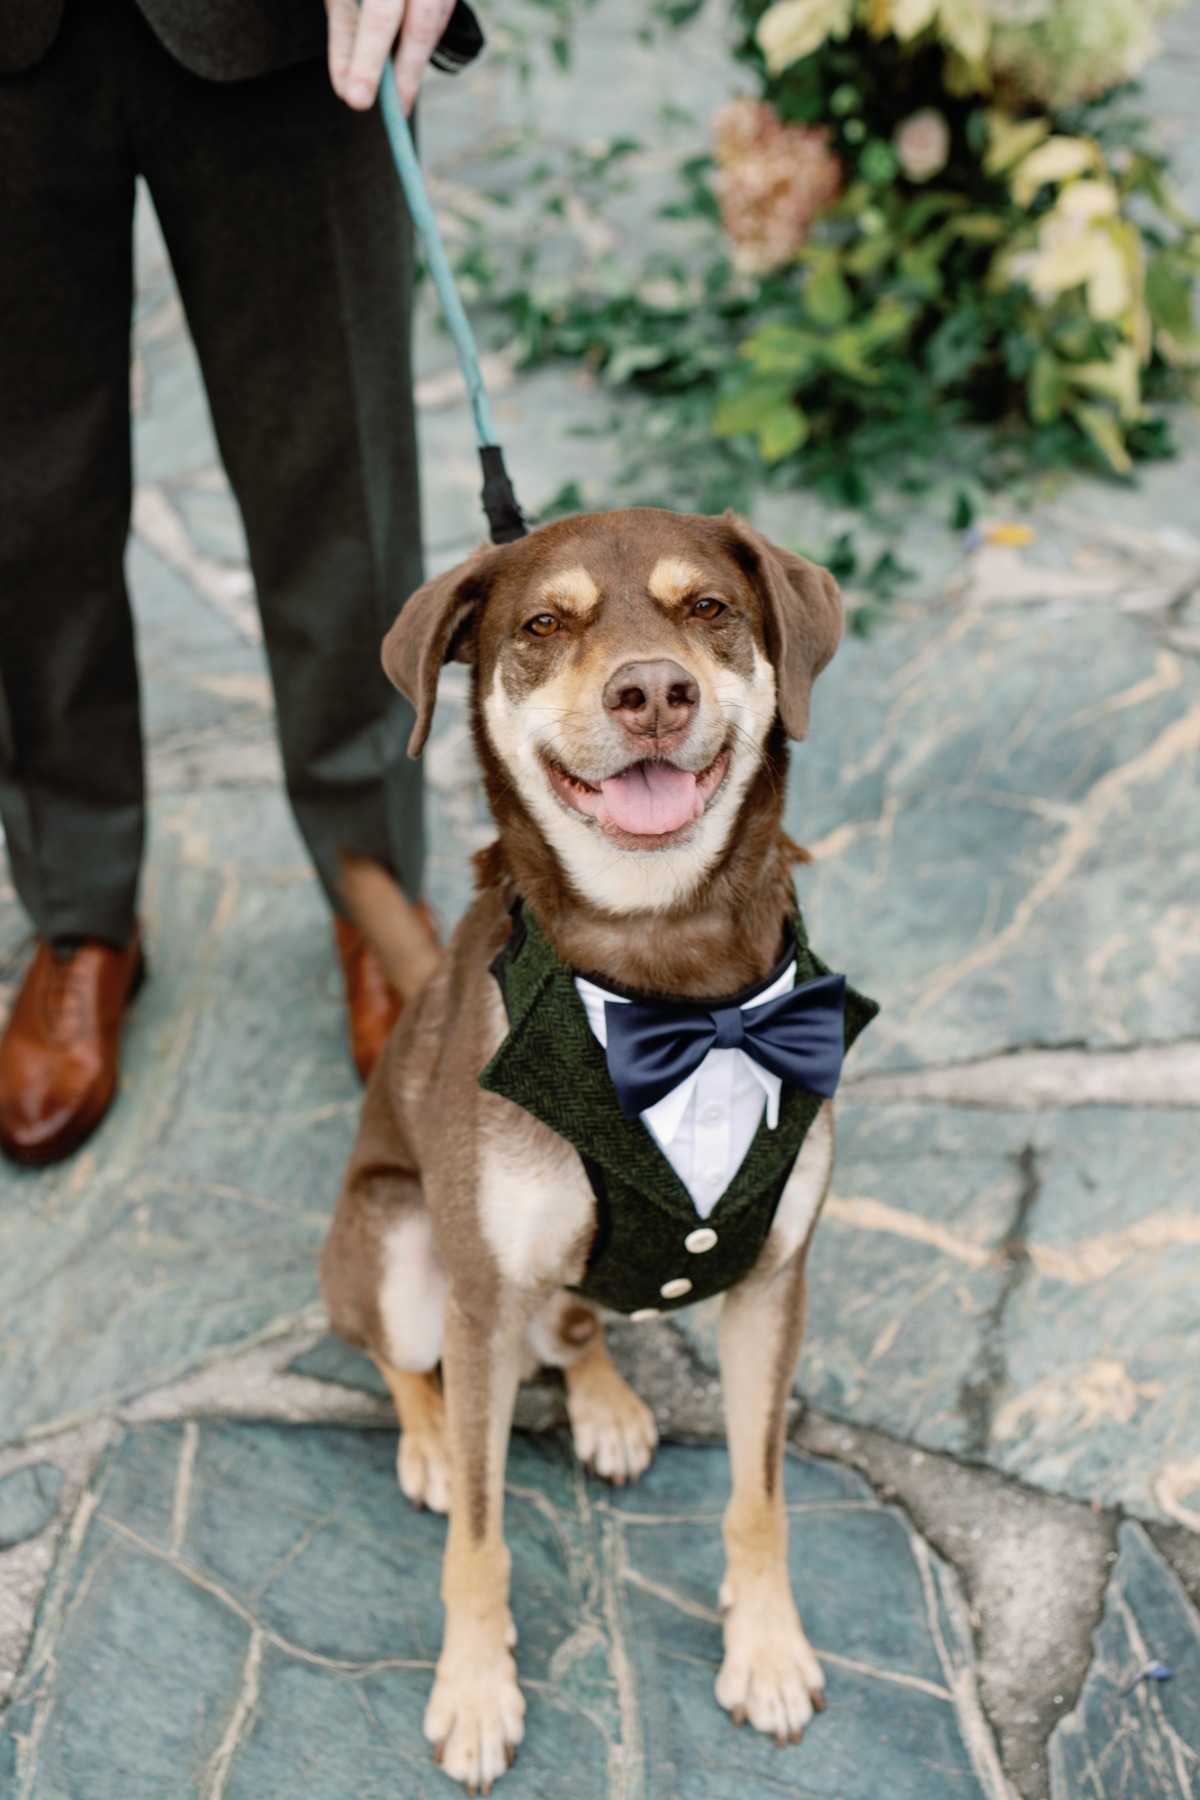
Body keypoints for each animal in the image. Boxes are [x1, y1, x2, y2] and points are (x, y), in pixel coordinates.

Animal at [323, 511, 859, 1800]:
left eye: (708, 609)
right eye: (542, 624)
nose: (653, 692)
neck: (671, 977)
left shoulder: (774, 1282)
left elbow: (759, 1496)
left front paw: (768, 1652)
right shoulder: (477, 1295)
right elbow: (481, 1536)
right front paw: (476, 1693)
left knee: (574, 1322)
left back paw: (605, 1403)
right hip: (402, 1257)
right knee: (399, 1356)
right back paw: (429, 1440)